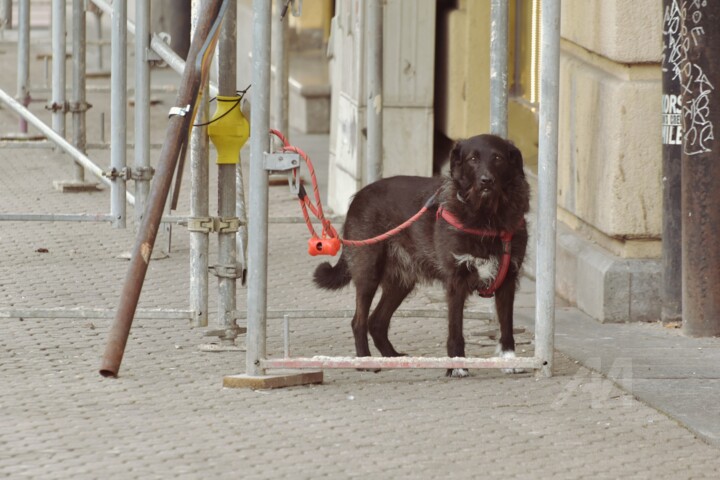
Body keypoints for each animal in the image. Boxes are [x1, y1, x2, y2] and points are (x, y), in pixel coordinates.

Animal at [314, 134, 530, 377]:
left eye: (498, 158)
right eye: (473, 159)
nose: (486, 181)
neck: (487, 217)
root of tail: (358, 195)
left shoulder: (507, 280)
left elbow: (507, 327)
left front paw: (509, 360)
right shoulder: (456, 281)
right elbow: (456, 329)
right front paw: (457, 366)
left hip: (401, 281)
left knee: (376, 321)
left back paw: (393, 357)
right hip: (368, 272)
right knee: (358, 321)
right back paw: (365, 360)